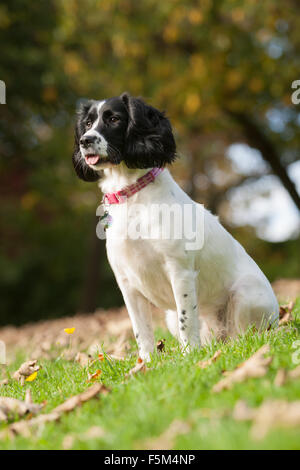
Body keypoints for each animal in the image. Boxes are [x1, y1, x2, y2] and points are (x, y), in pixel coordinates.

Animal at [72, 93, 278, 362]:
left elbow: (186, 319)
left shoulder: (179, 271)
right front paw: (146, 364)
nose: (85, 141)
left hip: (246, 294)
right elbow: (141, 330)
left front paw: (189, 355)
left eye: (114, 119)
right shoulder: (126, 282)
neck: (132, 196)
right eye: (87, 124)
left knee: (244, 336)